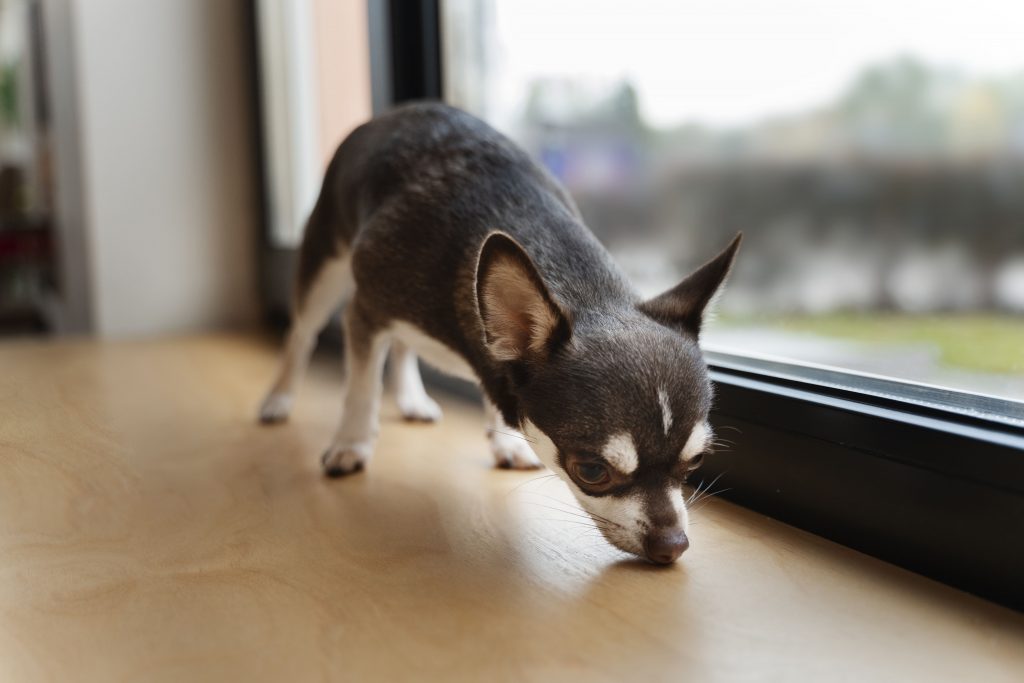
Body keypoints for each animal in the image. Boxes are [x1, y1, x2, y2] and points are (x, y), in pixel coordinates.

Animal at [256, 100, 741, 561]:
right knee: (302, 334)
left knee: (401, 345)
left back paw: (412, 399)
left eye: (696, 461)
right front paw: (352, 443)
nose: (672, 545)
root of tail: (392, 112)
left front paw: (506, 443)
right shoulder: (366, 310)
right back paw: (278, 399)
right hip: (325, 264)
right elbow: (360, 388)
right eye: (591, 471)